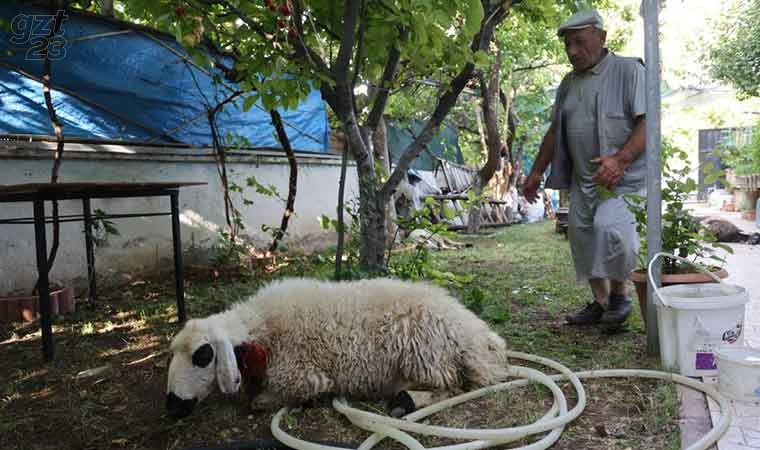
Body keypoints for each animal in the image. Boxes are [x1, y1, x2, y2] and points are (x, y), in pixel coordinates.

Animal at [167, 278, 510, 418]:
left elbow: (264, 400)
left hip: (425, 355)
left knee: (453, 386)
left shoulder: (301, 375)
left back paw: (405, 402)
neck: (263, 329)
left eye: (203, 355)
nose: (173, 405)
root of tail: (481, 338)